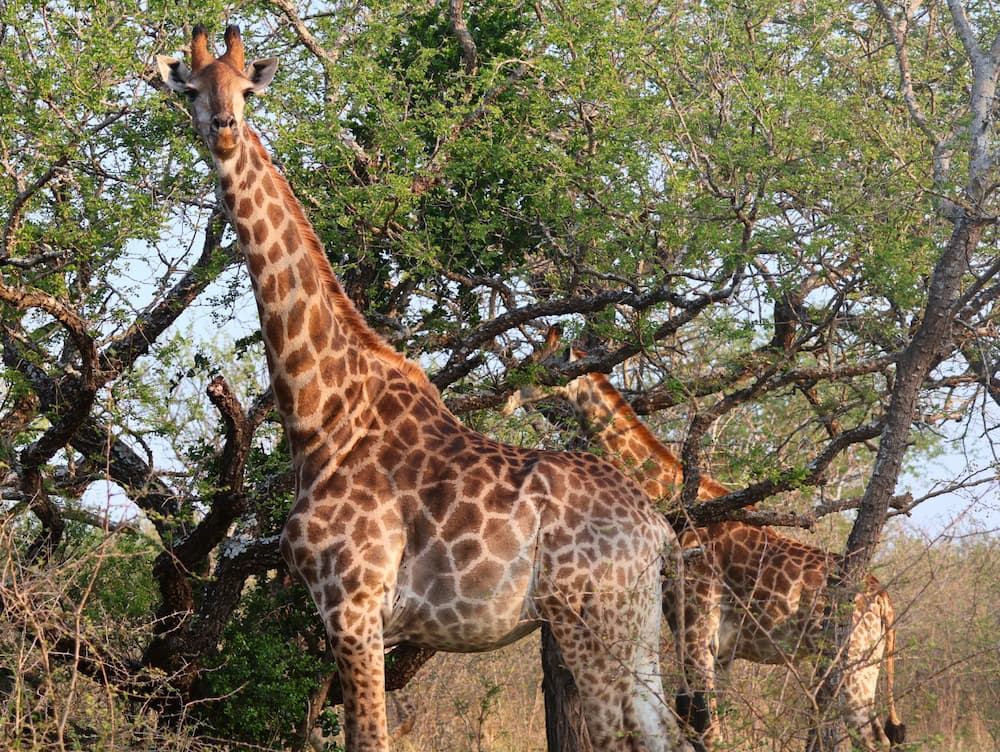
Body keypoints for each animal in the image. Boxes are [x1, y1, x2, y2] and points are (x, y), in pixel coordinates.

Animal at [157, 26, 693, 752]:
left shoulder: (354, 605)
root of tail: (656, 528)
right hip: (635, 628)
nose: (224, 129)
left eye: (246, 90)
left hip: (590, 620)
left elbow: (369, 739)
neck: (323, 413)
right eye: (192, 90)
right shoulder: (350, 615)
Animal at [505, 331, 905, 751]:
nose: (509, 394)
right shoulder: (719, 647)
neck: (671, 496)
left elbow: (703, 725)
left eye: (543, 365)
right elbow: (704, 720)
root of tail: (883, 599)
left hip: (855, 663)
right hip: (859, 663)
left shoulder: (697, 625)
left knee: (873, 737)